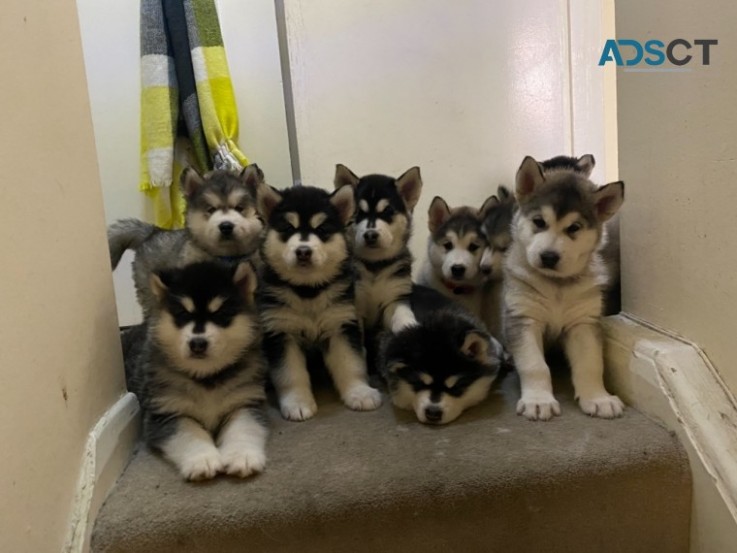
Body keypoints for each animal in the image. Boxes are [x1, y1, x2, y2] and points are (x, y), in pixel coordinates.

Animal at [128, 260, 268, 480]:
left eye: (221, 314)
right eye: (183, 314)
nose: (198, 343)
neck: (206, 376)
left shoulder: (245, 402)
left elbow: (244, 428)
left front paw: (243, 456)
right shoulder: (165, 413)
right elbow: (189, 433)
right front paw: (202, 459)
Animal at [253, 181, 382, 418]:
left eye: (321, 230)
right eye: (288, 228)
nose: (303, 251)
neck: (307, 291)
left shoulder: (341, 324)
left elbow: (351, 364)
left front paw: (359, 392)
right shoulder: (281, 332)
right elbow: (290, 374)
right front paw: (297, 402)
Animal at [504, 153, 624, 420]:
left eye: (574, 228)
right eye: (539, 222)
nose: (549, 257)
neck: (556, 286)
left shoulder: (583, 323)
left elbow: (591, 364)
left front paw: (598, 398)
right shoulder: (524, 319)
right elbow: (535, 365)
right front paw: (538, 401)